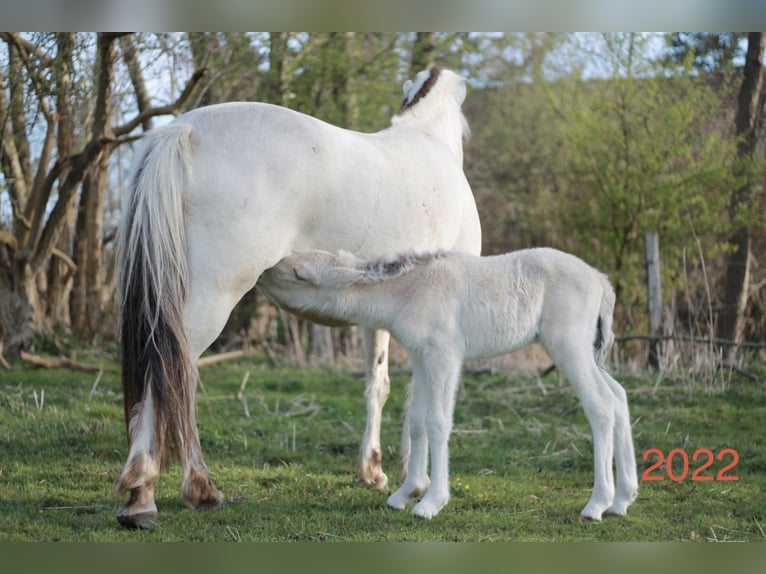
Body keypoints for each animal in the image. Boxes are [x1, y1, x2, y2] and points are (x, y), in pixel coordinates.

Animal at [114, 66, 482, 529]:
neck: (430, 146)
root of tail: (185, 129)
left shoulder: (384, 314)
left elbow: (378, 385)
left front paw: (375, 471)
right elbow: (423, 395)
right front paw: (417, 484)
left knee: (176, 376)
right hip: (211, 300)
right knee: (171, 374)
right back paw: (163, 494)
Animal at [258, 248, 639, 520]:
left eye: (297, 273)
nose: (259, 275)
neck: (409, 291)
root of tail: (601, 281)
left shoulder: (444, 355)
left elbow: (438, 422)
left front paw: (430, 503)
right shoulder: (421, 356)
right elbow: (416, 422)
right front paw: (404, 493)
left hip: (568, 345)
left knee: (601, 406)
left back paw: (597, 504)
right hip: (587, 350)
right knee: (619, 397)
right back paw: (623, 500)